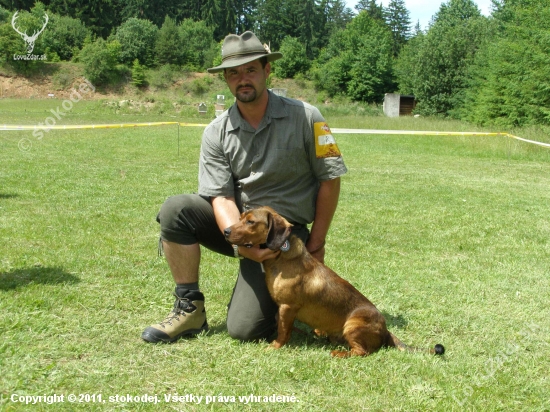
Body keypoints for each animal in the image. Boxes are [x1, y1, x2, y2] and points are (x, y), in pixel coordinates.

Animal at [226, 206, 446, 358]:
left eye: (251, 222)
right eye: (240, 218)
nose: (226, 231)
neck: (282, 255)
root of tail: (386, 331)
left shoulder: (287, 307)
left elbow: (282, 331)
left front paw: (275, 346)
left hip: (352, 325)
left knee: (361, 352)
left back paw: (339, 353)